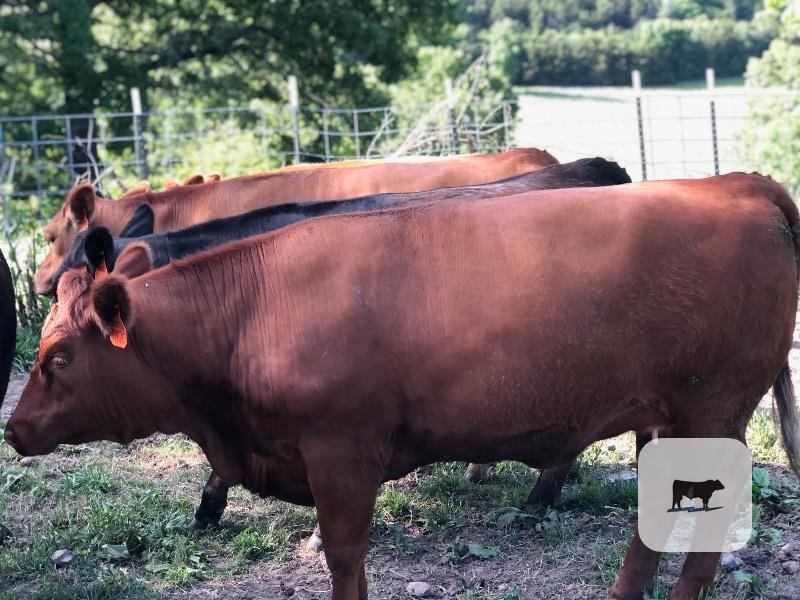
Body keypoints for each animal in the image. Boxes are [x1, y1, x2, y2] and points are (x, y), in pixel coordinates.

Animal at [7, 173, 800, 600]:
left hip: (712, 408)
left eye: (61, 359)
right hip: (664, 418)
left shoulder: (340, 451)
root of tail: (734, 185)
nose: (13, 429)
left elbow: (344, 553)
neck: (251, 306)